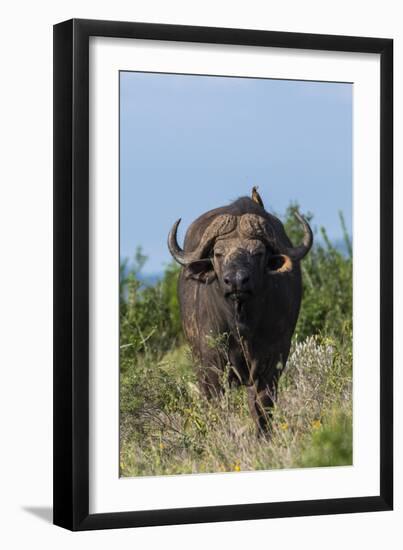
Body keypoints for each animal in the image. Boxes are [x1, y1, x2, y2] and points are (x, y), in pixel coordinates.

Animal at [167, 190, 312, 436]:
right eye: (218, 253)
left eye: (258, 252)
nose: (236, 281)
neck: (241, 323)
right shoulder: (211, 361)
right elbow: (217, 402)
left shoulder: (273, 357)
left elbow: (263, 404)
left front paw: (263, 437)